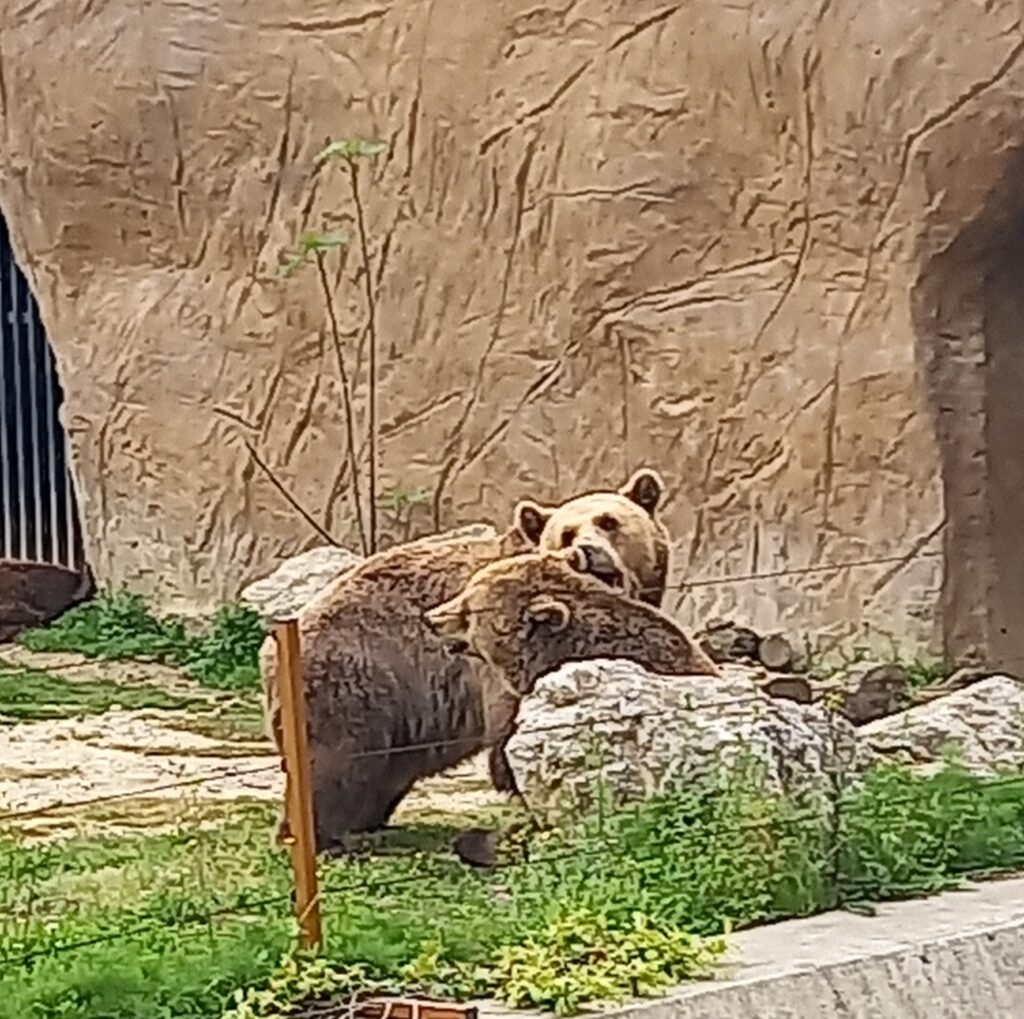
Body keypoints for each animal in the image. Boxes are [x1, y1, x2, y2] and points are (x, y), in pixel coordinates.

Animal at [259, 469, 672, 853]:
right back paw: (321, 837)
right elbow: (509, 731)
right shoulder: (499, 654)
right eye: (567, 533)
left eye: (608, 522)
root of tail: (273, 646)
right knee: (336, 766)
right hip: (356, 677)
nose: (587, 551)